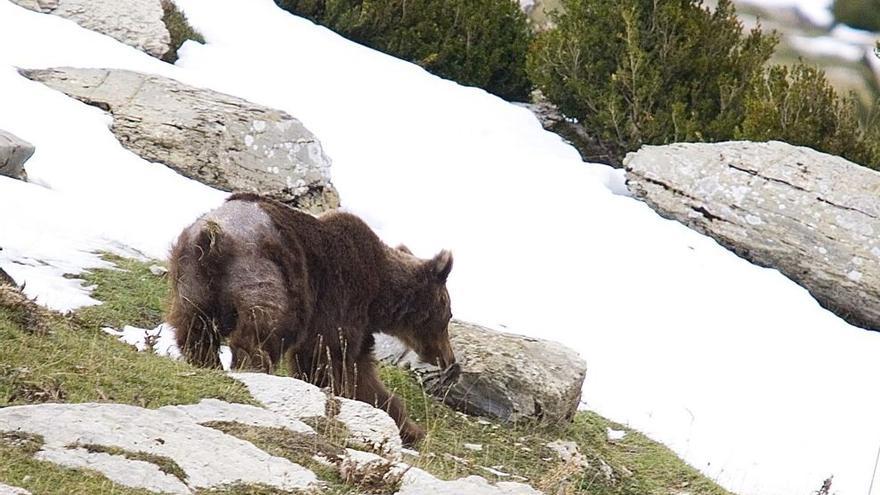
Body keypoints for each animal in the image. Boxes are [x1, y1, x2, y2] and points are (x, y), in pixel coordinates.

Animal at [165, 192, 458, 444]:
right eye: (448, 315)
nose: (450, 361)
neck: (379, 294)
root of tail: (212, 233)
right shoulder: (342, 295)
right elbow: (327, 355)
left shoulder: (359, 326)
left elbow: (360, 372)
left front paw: (406, 424)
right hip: (265, 268)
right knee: (265, 326)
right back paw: (254, 365)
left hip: (193, 277)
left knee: (194, 327)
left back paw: (206, 361)